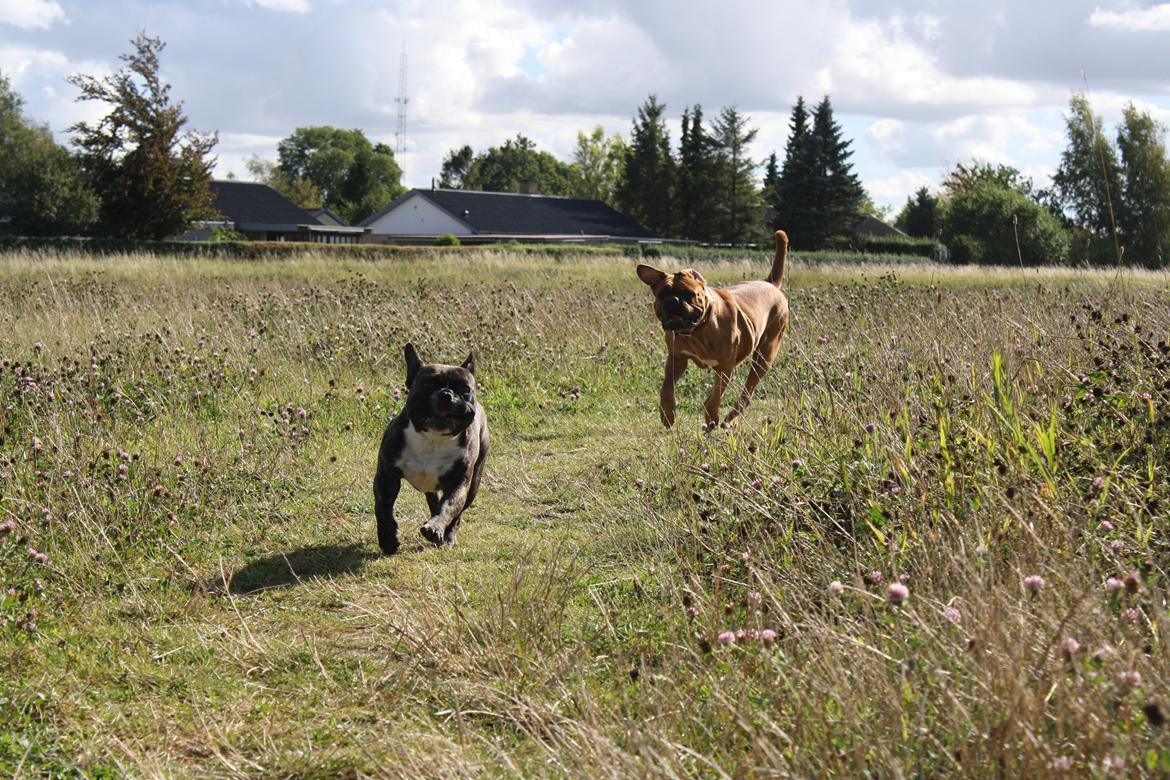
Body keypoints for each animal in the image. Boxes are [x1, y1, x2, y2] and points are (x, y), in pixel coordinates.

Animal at [636, 229, 790, 430]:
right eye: (662, 294)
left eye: (688, 294)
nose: (673, 301)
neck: (696, 331)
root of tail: (770, 283)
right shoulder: (676, 359)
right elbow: (667, 388)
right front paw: (667, 414)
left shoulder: (725, 367)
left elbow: (716, 396)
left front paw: (711, 417)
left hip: (764, 356)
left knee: (746, 392)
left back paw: (730, 419)